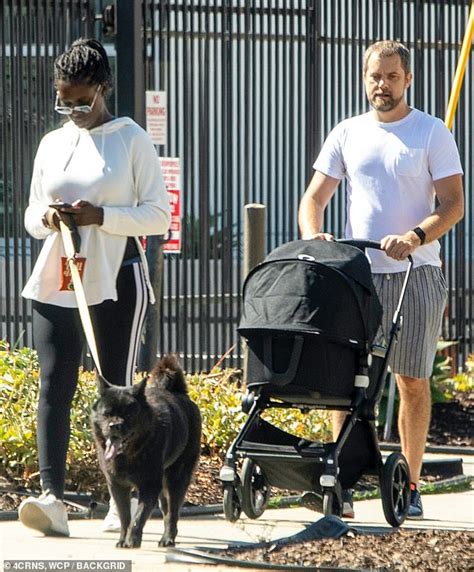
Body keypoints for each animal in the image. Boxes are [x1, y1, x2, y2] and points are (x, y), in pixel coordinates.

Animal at [91, 356, 202, 548]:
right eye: (106, 414)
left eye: (129, 415)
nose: (115, 425)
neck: (127, 455)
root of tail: (180, 394)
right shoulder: (117, 486)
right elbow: (125, 516)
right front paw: (123, 539)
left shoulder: (149, 486)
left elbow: (139, 516)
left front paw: (133, 539)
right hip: (164, 483)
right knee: (166, 510)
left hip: (176, 478)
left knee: (173, 511)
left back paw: (168, 538)